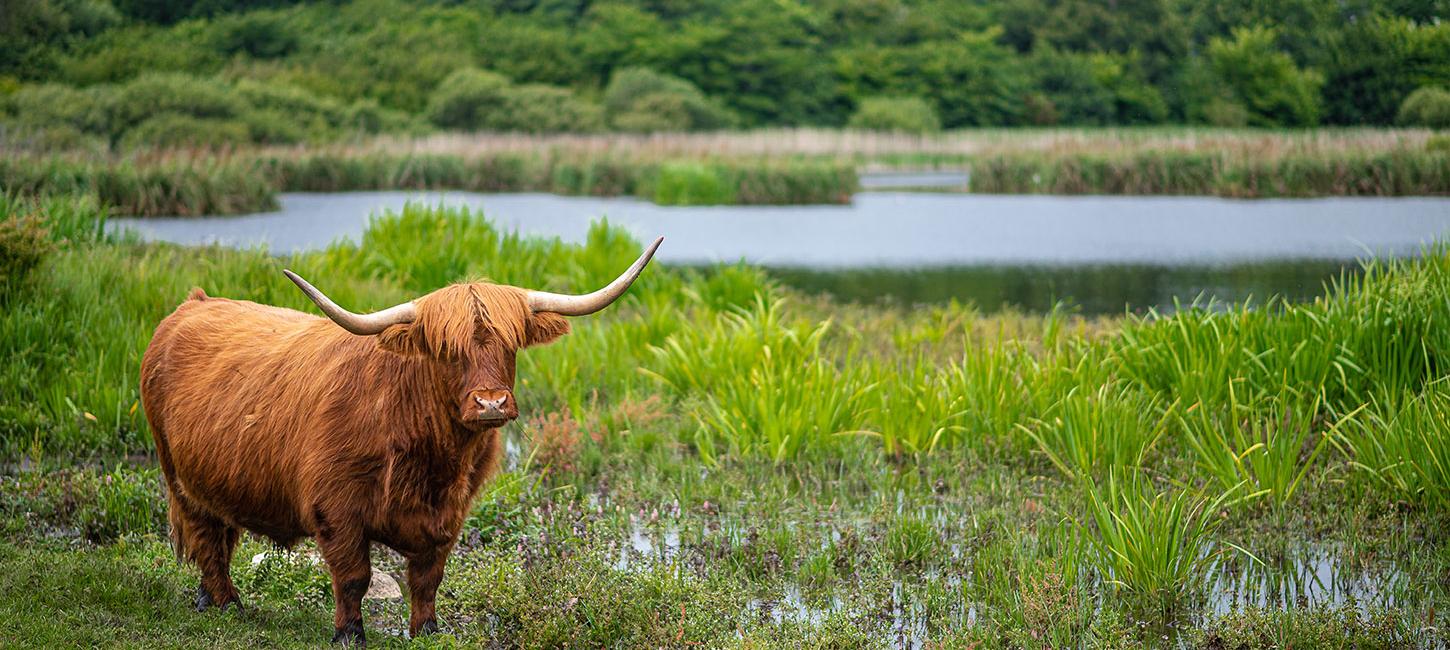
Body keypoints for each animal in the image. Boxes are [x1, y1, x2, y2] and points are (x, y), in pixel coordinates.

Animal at [141, 237, 664, 644]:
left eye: (510, 343)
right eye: (448, 350)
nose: (491, 403)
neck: (432, 459)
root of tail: (194, 304)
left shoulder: (451, 513)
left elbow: (428, 577)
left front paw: (427, 631)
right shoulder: (337, 509)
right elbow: (354, 577)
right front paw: (349, 634)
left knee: (220, 535)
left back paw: (212, 597)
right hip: (175, 473)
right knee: (206, 536)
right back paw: (226, 603)